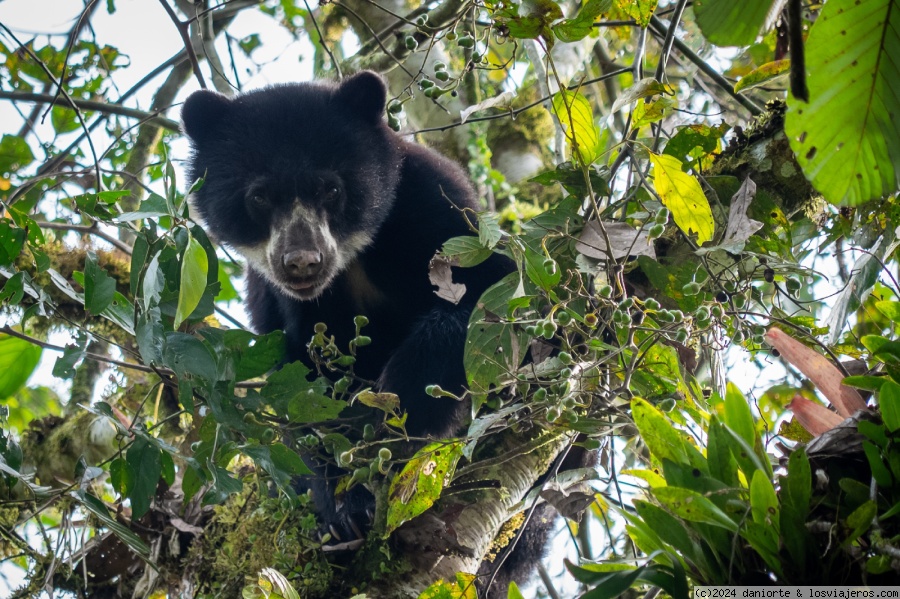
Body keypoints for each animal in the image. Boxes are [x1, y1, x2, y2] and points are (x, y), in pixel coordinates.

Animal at [181, 71, 547, 594]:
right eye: (259, 196)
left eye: (331, 189)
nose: (302, 263)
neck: (354, 259)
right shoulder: (286, 307)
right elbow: (304, 384)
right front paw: (338, 509)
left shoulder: (434, 202)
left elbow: (484, 301)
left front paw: (388, 449)